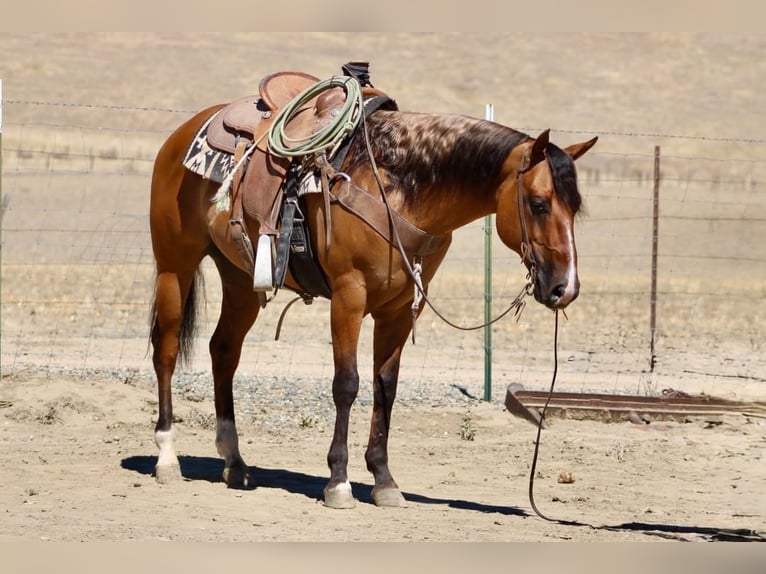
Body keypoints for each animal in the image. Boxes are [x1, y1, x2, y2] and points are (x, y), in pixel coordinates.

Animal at [148, 74, 597, 509]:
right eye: (538, 203)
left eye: (575, 207)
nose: (565, 288)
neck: (398, 187)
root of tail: (185, 131)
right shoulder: (349, 295)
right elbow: (347, 383)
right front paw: (339, 481)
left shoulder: (399, 309)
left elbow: (386, 386)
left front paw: (384, 480)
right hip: (175, 265)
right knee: (166, 350)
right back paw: (167, 457)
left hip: (240, 280)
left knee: (224, 351)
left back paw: (235, 463)